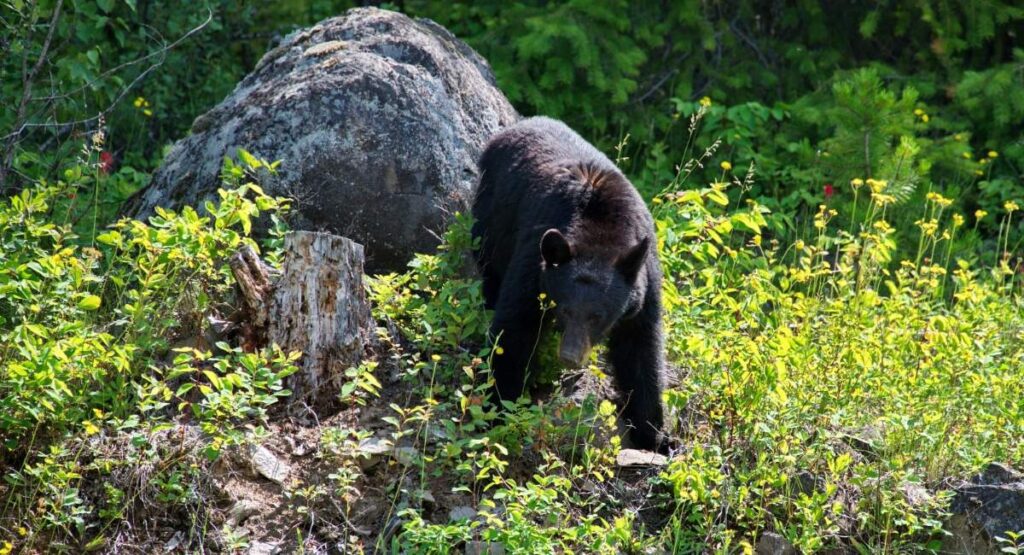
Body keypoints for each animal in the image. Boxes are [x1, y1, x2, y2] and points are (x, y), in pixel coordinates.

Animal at [471, 116, 666, 452]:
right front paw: (498, 408)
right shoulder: (534, 264)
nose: (570, 356)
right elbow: (514, 330)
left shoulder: (644, 281)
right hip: (492, 215)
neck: (600, 230)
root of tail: (522, 122)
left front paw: (653, 435)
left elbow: (640, 349)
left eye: (597, 316)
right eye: (564, 310)